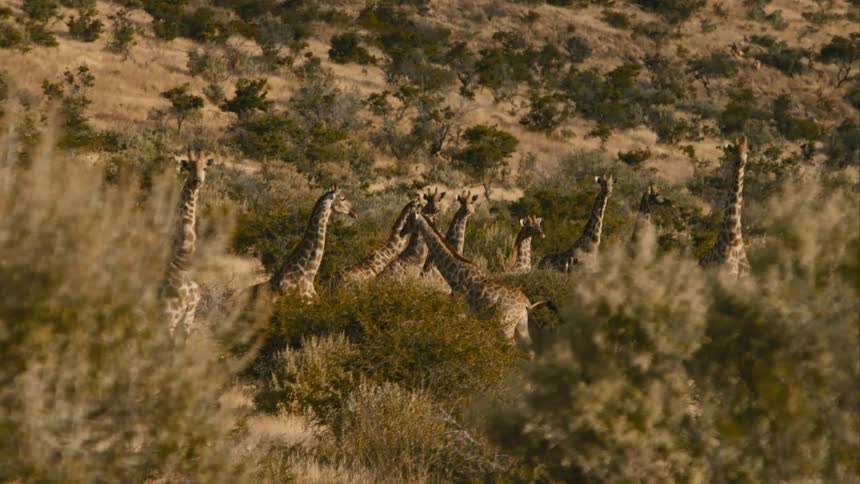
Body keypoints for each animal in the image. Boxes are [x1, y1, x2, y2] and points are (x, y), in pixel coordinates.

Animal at [401, 206, 552, 350]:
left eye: (409, 219)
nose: (402, 231)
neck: (455, 273)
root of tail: (526, 303)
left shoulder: (461, 311)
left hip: (505, 324)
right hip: (521, 324)